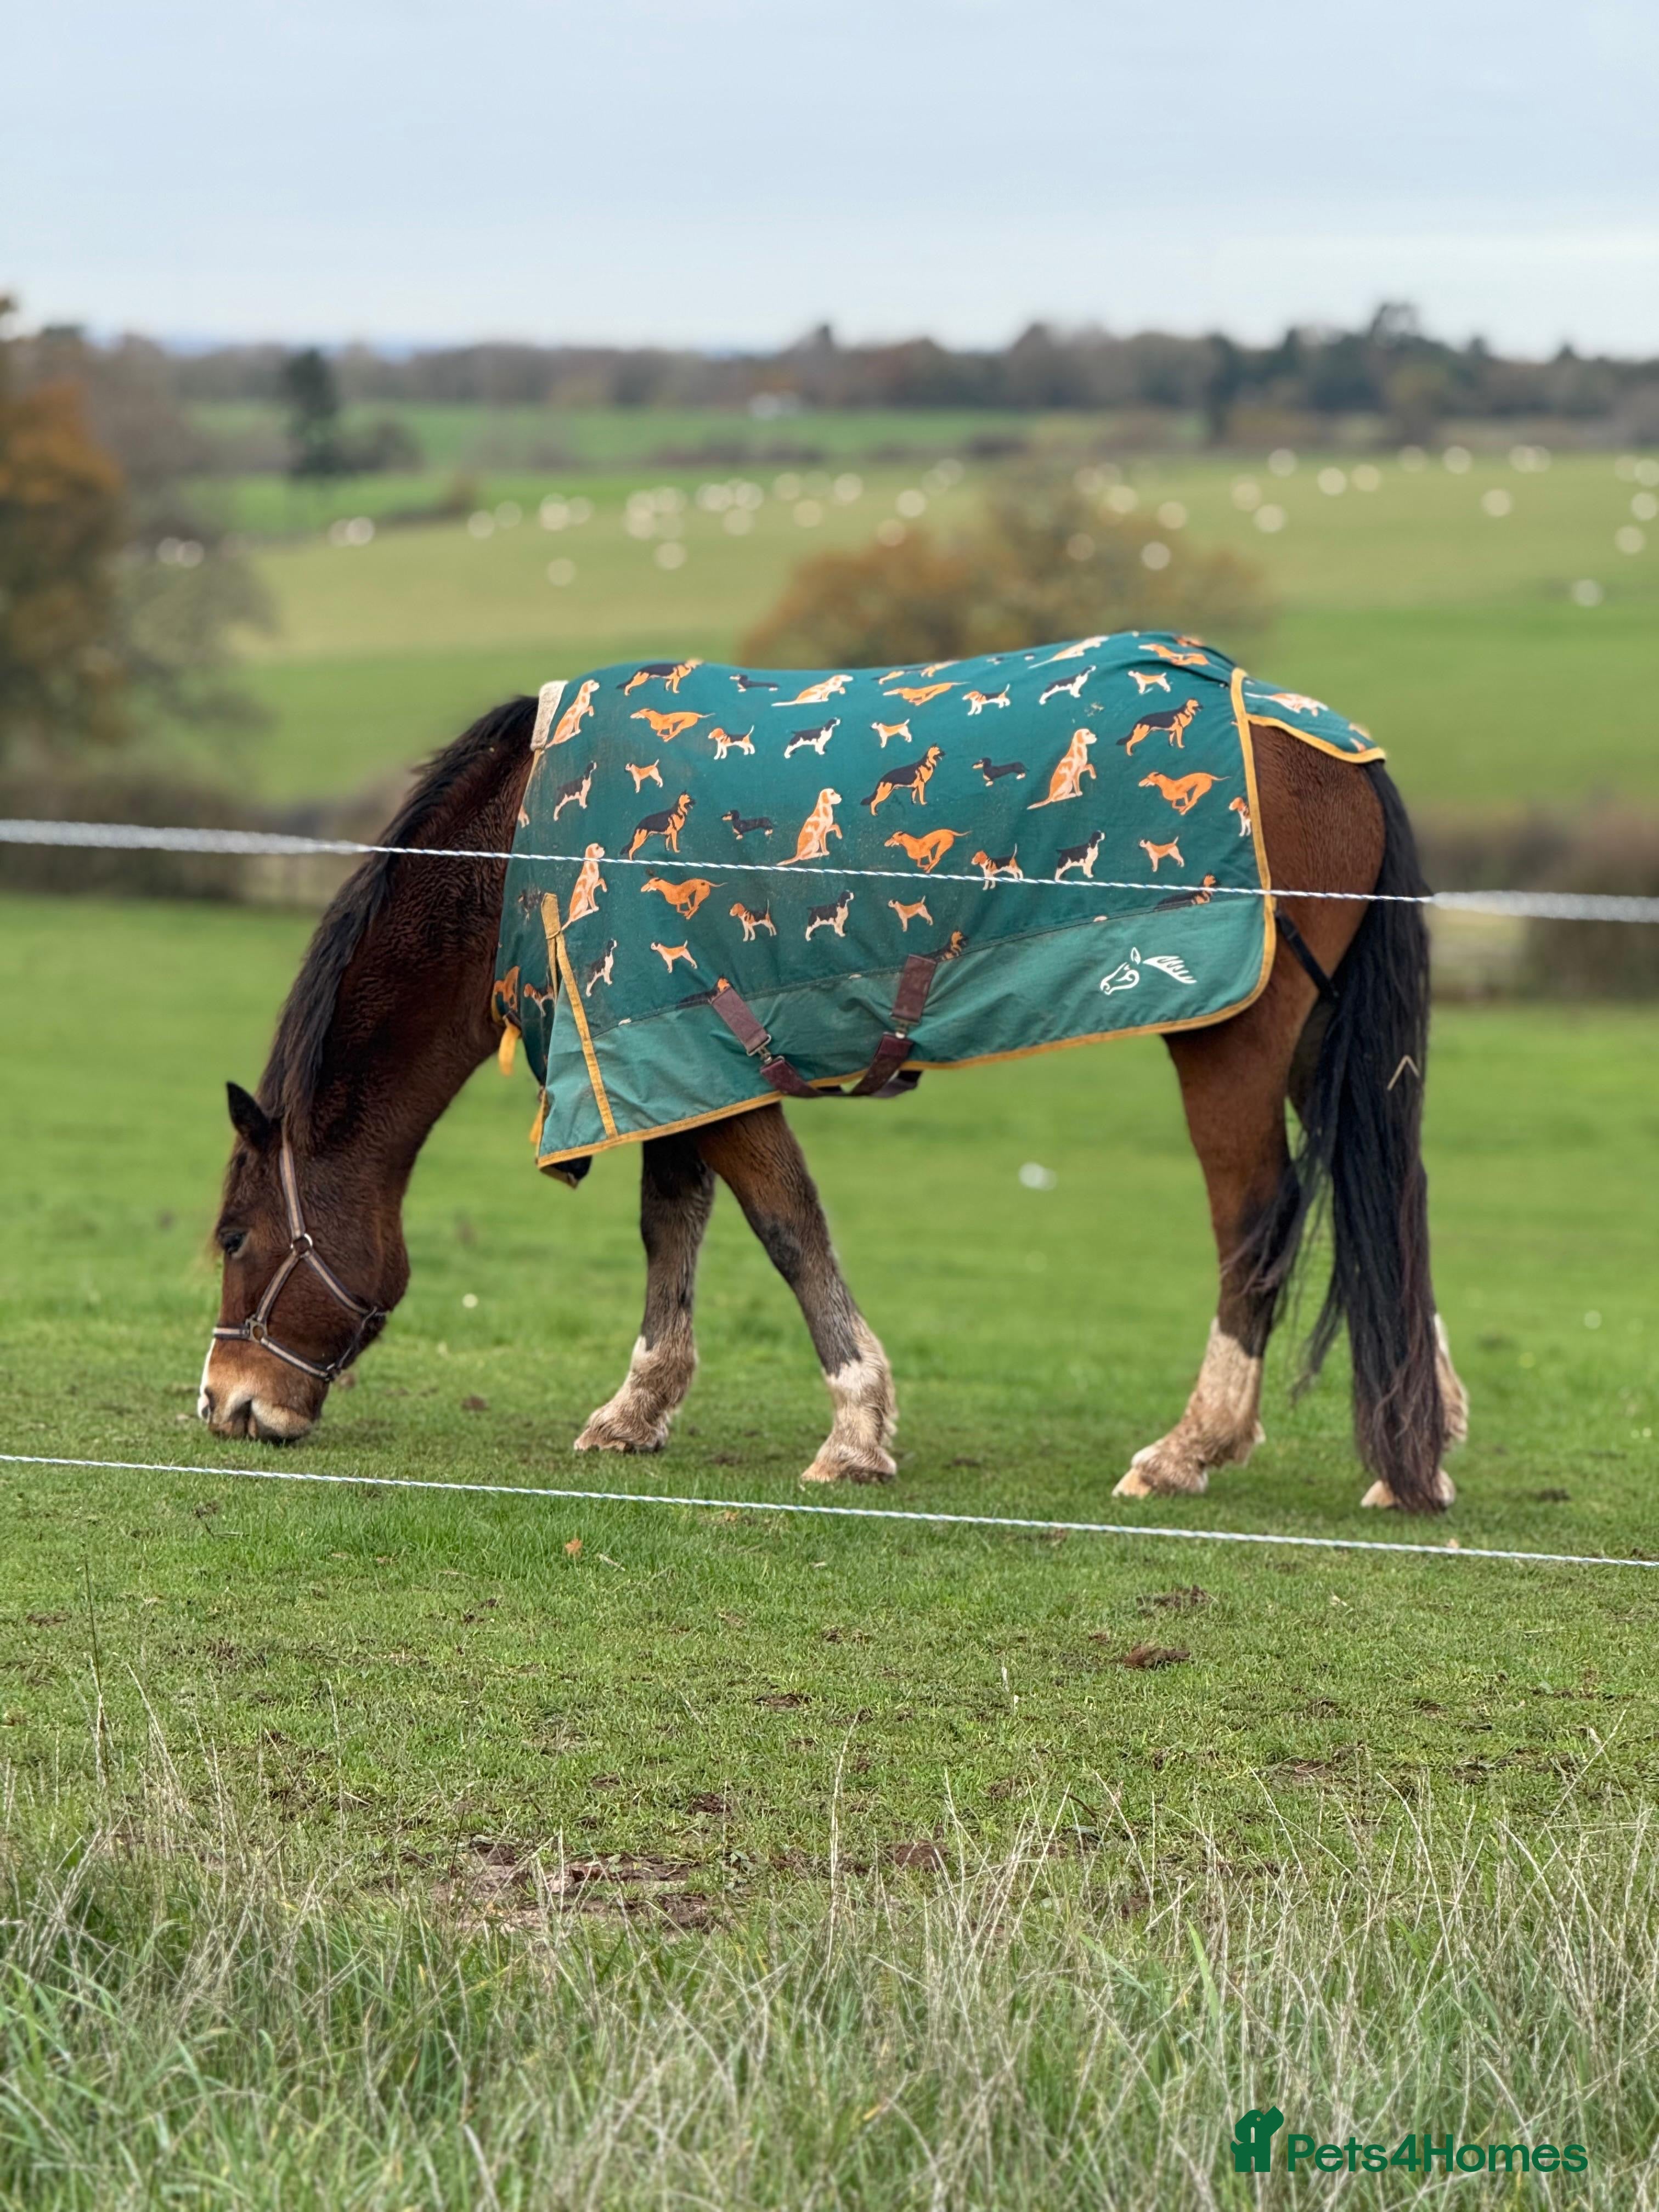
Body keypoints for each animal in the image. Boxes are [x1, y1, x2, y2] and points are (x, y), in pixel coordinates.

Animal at [200, 695, 1468, 1511]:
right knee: (1388, 1202)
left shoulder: (709, 1059)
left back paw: (1189, 1448)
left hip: (1227, 1041)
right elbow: (673, 1225)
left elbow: (787, 1229)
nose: (226, 1404)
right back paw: (1420, 1434)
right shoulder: (663, 1063)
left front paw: (856, 1425)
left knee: (1257, 1218)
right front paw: (637, 1409)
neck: (525, 851)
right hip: (1316, 1041)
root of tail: (1335, 748)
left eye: (235, 1236)